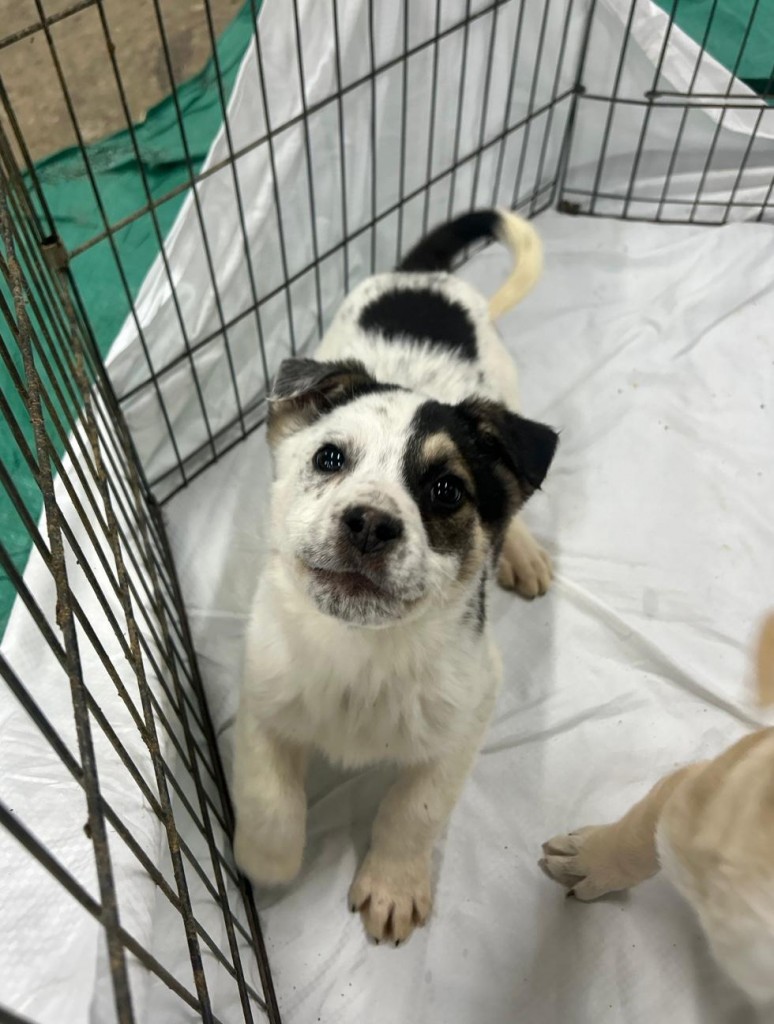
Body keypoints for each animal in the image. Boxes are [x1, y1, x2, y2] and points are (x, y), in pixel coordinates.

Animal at [232, 209, 558, 945]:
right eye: (329, 457)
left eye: (445, 490)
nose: (370, 525)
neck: (362, 653)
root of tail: (426, 278)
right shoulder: (261, 691)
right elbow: (268, 795)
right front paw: (266, 859)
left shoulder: (469, 709)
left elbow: (416, 807)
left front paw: (393, 885)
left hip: (511, 398)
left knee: (521, 491)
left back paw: (521, 550)